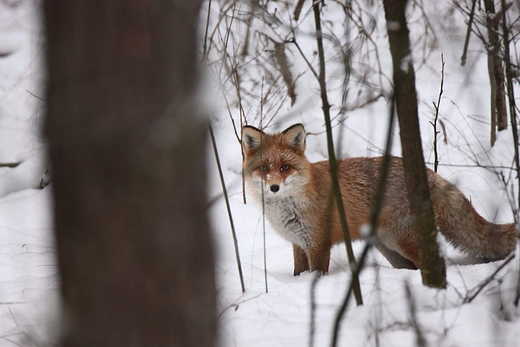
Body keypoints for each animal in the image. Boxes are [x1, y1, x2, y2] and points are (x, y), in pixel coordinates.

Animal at [242, 123, 516, 276]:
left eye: (285, 167)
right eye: (264, 168)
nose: (274, 187)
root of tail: (429, 172)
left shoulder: (319, 244)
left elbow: (317, 273)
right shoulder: (299, 243)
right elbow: (298, 273)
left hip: (402, 241)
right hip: (390, 249)